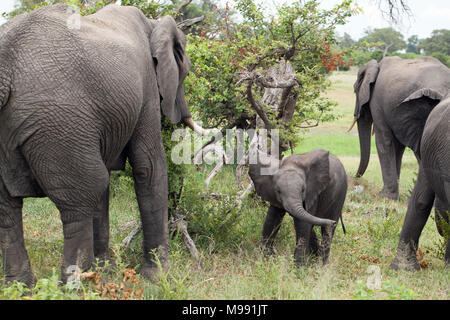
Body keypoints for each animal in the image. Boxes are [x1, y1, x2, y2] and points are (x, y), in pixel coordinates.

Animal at [0, 4, 206, 284]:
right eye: (186, 72)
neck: (152, 24)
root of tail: (5, 61)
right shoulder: (146, 89)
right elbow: (148, 166)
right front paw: (158, 277)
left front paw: (107, 270)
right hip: (58, 120)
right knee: (81, 196)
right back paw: (77, 284)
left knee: (7, 210)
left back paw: (22, 287)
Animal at [350, 56, 450, 199]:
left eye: (354, 90)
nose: (356, 178)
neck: (376, 65)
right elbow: (397, 147)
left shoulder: (377, 102)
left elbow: (384, 142)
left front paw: (384, 197)